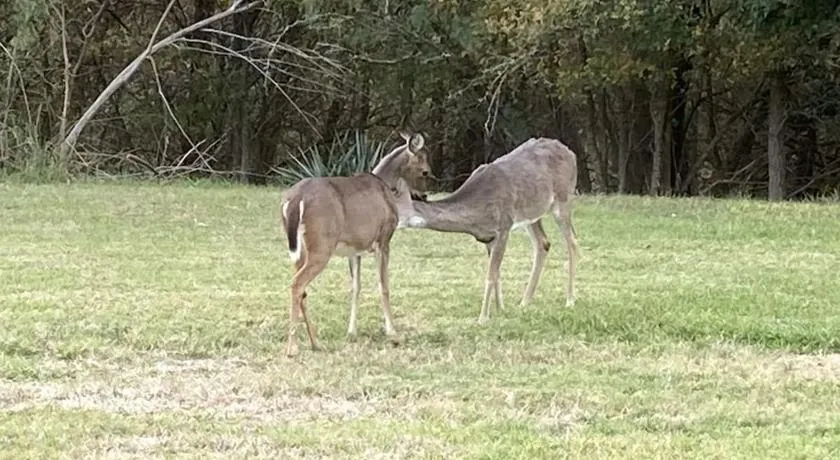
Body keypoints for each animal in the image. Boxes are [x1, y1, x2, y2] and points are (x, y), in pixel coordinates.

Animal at [279, 132, 431, 357]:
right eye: (425, 170)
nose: (424, 195)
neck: (385, 185)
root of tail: (294, 199)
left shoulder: (355, 249)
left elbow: (355, 287)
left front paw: (351, 332)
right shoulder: (384, 238)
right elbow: (384, 285)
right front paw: (393, 333)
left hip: (301, 250)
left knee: (301, 287)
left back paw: (316, 343)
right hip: (321, 246)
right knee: (297, 284)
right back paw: (292, 348)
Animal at [394, 137, 579, 324]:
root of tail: (570, 152)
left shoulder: (503, 227)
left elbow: (490, 275)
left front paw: (483, 318)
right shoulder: (488, 237)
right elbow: (496, 274)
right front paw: (500, 310)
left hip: (564, 198)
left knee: (572, 241)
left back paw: (570, 300)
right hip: (532, 213)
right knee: (543, 243)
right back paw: (524, 302)